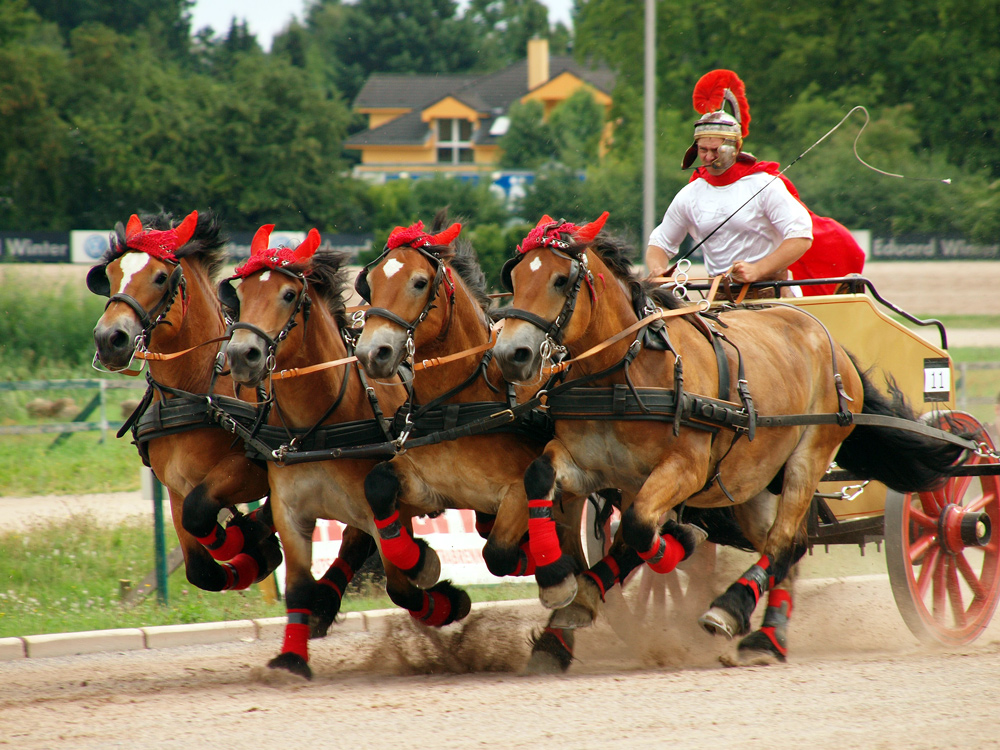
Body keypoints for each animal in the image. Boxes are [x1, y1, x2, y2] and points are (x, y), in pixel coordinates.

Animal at [88, 214, 282, 596]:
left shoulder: (249, 470)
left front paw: (252, 536)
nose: (109, 338)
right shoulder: (177, 486)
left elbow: (202, 511)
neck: (191, 392)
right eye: (112, 274)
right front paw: (259, 550)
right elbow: (202, 570)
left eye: (161, 277)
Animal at [223, 225, 472, 680]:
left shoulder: (380, 506)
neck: (318, 425)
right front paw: (291, 658)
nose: (240, 354)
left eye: (288, 294)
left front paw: (444, 595)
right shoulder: (291, 511)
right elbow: (298, 587)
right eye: (243, 292)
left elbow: (401, 585)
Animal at [496, 213, 964, 664]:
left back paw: (734, 610)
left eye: (560, 280)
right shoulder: (589, 464)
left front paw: (680, 538)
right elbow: (541, 480)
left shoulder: (684, 469)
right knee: (788, 546)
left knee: (783, 541)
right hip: (751, 482)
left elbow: (641, 528)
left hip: (809, 457)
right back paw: (769, 636)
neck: (625, 371)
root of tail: (826, 338)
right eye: (514, 278)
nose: (510, 355)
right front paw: (559, 583)